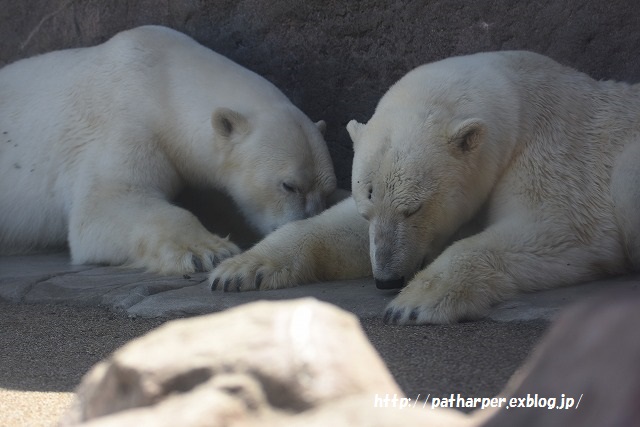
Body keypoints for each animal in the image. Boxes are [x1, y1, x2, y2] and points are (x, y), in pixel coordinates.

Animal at [0, 25, 338, 274]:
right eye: (289, 185)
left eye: (328, 191)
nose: (306, 221)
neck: (163, 81)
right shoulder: (125, 124)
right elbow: (106, 203)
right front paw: (209, 250)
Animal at [209, 50, 640, 324]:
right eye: (368, 210)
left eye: (413, 207)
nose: (386, 279)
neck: (522, 102)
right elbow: (340, 229)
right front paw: (239, 269)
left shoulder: (558, 155)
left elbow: (558, 230)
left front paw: (416, 301)